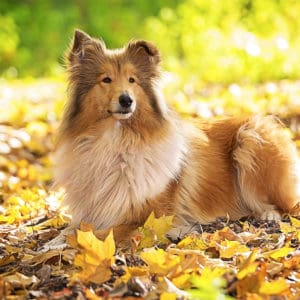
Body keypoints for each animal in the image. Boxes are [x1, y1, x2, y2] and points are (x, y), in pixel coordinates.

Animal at [53, 28, 298, 244]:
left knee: (285, 205)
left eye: (132, 80)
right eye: (106, 79)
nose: (126, 100)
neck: (116, 142)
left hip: (250, 138)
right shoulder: (89, 212)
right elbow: (72, 229)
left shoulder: (150, 218)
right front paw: (54, 241)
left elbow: (100, 233)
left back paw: (268, 215)